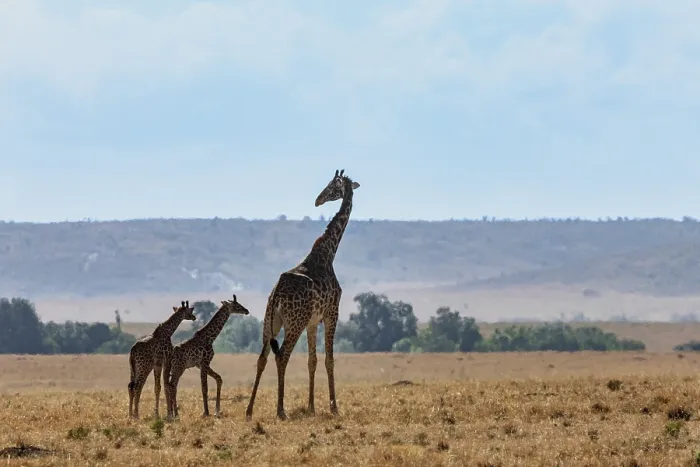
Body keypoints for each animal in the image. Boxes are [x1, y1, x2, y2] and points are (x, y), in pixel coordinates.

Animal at [246, 168, 360, 421]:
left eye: (331, 187)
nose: (318, 200)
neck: (328, 253)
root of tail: (276, 294)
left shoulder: (312, 322)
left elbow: (312, 361)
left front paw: (311, 407)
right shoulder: (331, 313)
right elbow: (329, 360)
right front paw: (333, 407)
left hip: (270, 322)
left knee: (262, 358)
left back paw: (249, 411)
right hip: (294, 322)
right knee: (281, 356)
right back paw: (281, 411)